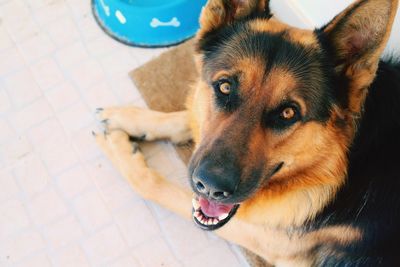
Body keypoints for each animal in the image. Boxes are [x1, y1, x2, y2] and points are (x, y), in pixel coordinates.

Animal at [95, 0, 400, 266]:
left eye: (288, 113)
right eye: (224, 87)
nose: (210, 187)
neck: (345, 160)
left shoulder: (267, 238)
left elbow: (158, 187)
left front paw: (120, 150)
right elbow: (187, 114)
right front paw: (126, 118)